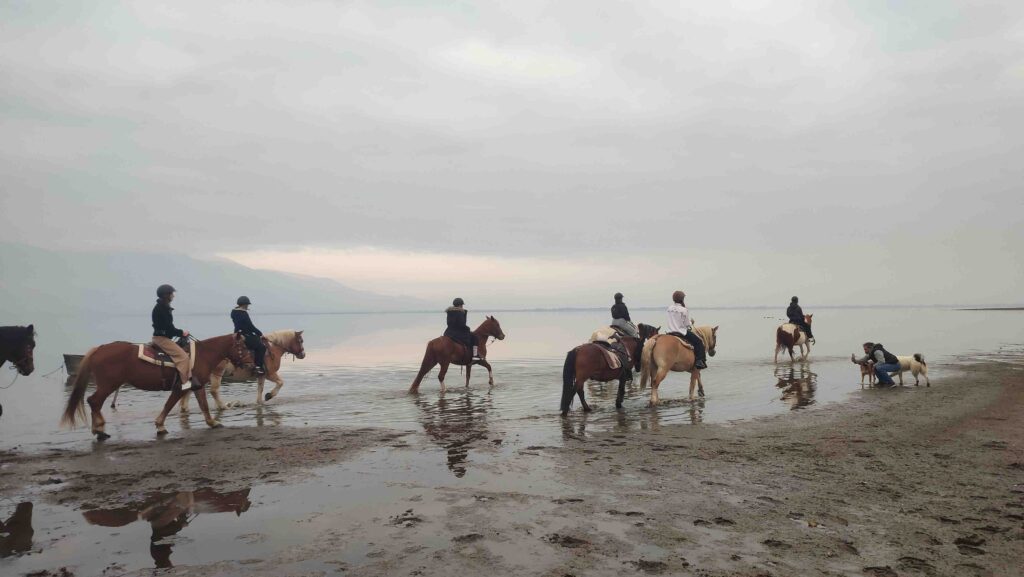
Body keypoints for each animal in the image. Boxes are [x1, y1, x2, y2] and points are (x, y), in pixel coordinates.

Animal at [61, 332, 251, 440]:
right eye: (242, 346)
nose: (251, 364)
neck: (202, 355)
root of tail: (99, 349)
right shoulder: (181, 387)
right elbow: (169, 405)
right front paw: (160, 425)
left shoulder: (196, 386)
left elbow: (203, 405)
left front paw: (212, 422)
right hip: (109, 384)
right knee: (94, 401)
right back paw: (99, 430)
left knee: (94, 402)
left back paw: (99, 429)